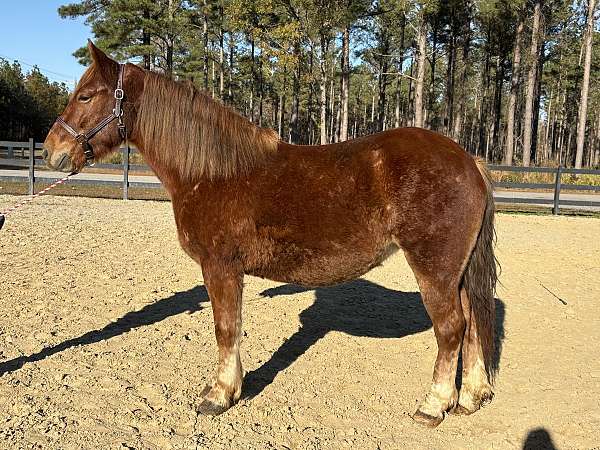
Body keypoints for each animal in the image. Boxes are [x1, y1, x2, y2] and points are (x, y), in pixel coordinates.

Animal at [43, 42, 496, 426]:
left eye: (86, 96)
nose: (51, 151)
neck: (212, 171)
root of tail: (468, 160)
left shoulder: (221, 267)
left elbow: (226, 329)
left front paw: (220, 395)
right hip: (455, 273)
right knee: (473, 322)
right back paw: (472, 397)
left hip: (434, 269)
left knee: (451, 329)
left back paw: (434, 405)